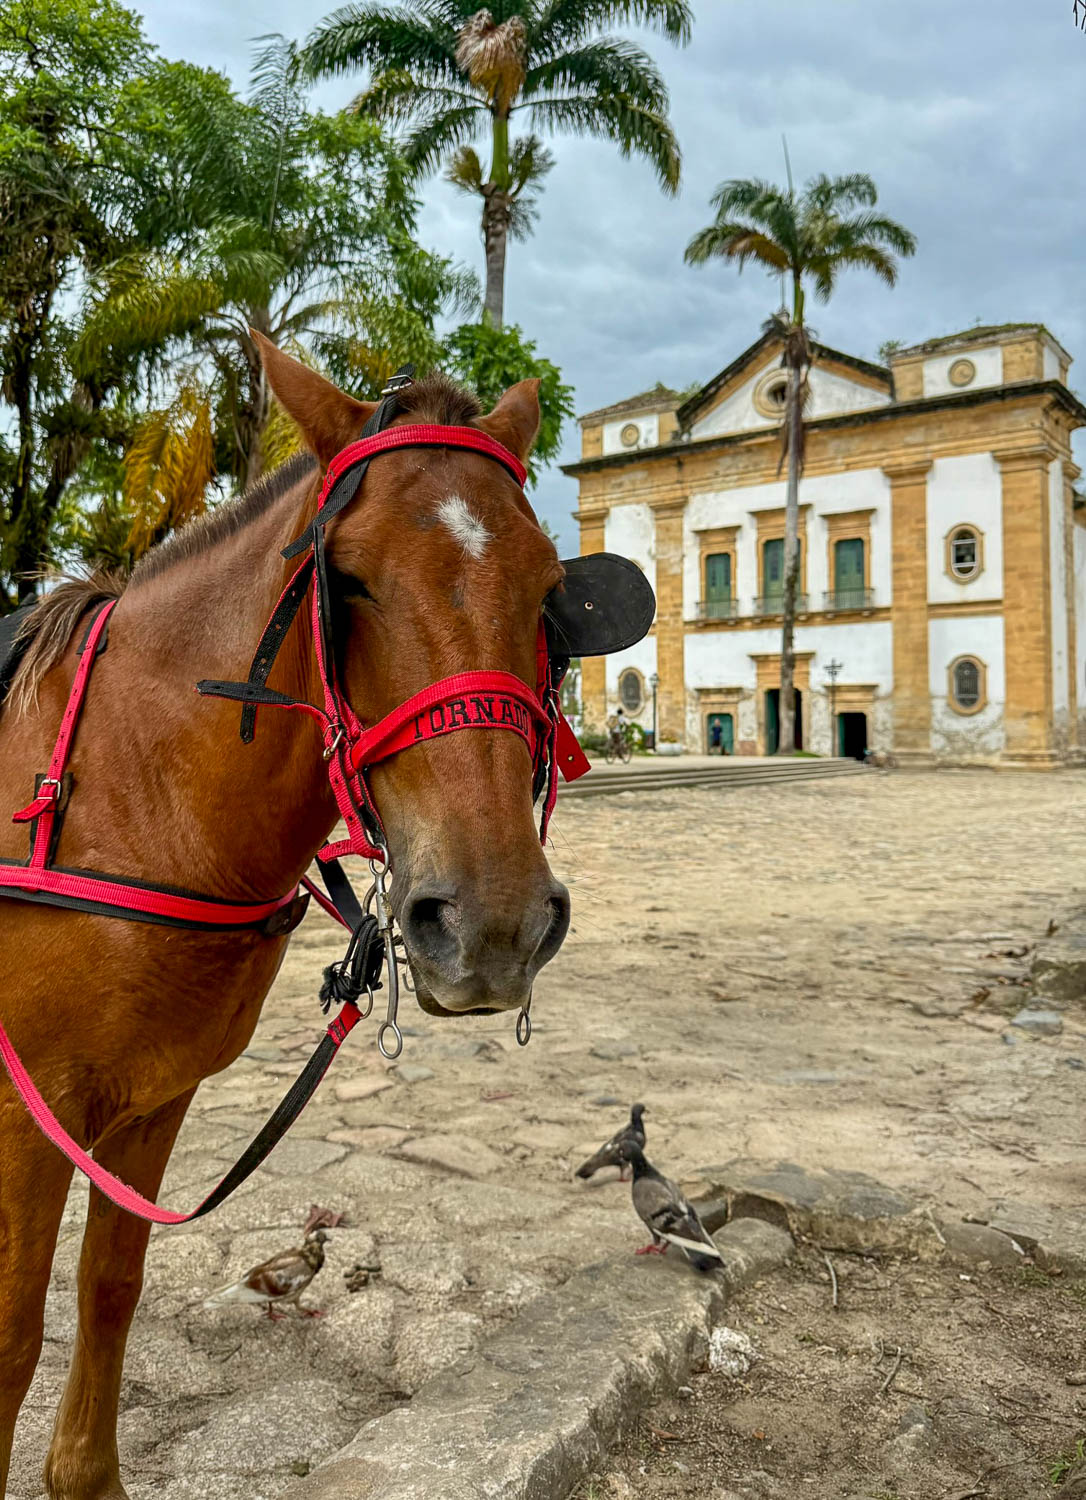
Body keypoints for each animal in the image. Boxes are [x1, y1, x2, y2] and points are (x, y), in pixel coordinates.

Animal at [0, 339, 575, 1499]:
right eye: (343, 579)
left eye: (548, 587)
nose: (493, 922)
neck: (119, 790)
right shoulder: (24, 1111)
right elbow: (9, 1337)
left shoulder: (149, 1098)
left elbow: (108, 1286)